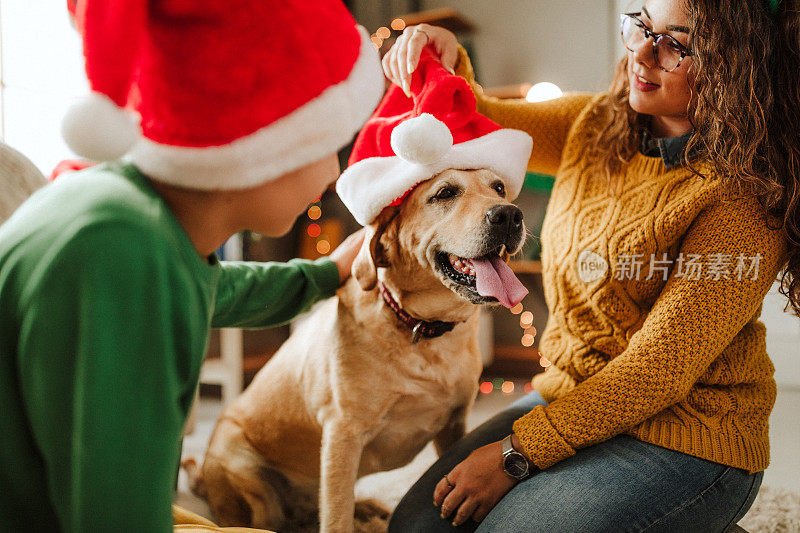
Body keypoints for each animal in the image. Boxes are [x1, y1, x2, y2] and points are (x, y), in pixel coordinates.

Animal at [188, 168, 532, 528]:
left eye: (499, 188)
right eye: (445, 193)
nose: (509, 215)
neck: (423, 329)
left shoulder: (454, 424)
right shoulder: (343, 433)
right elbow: (336, 517)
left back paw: (364, 509)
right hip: (247, 475)